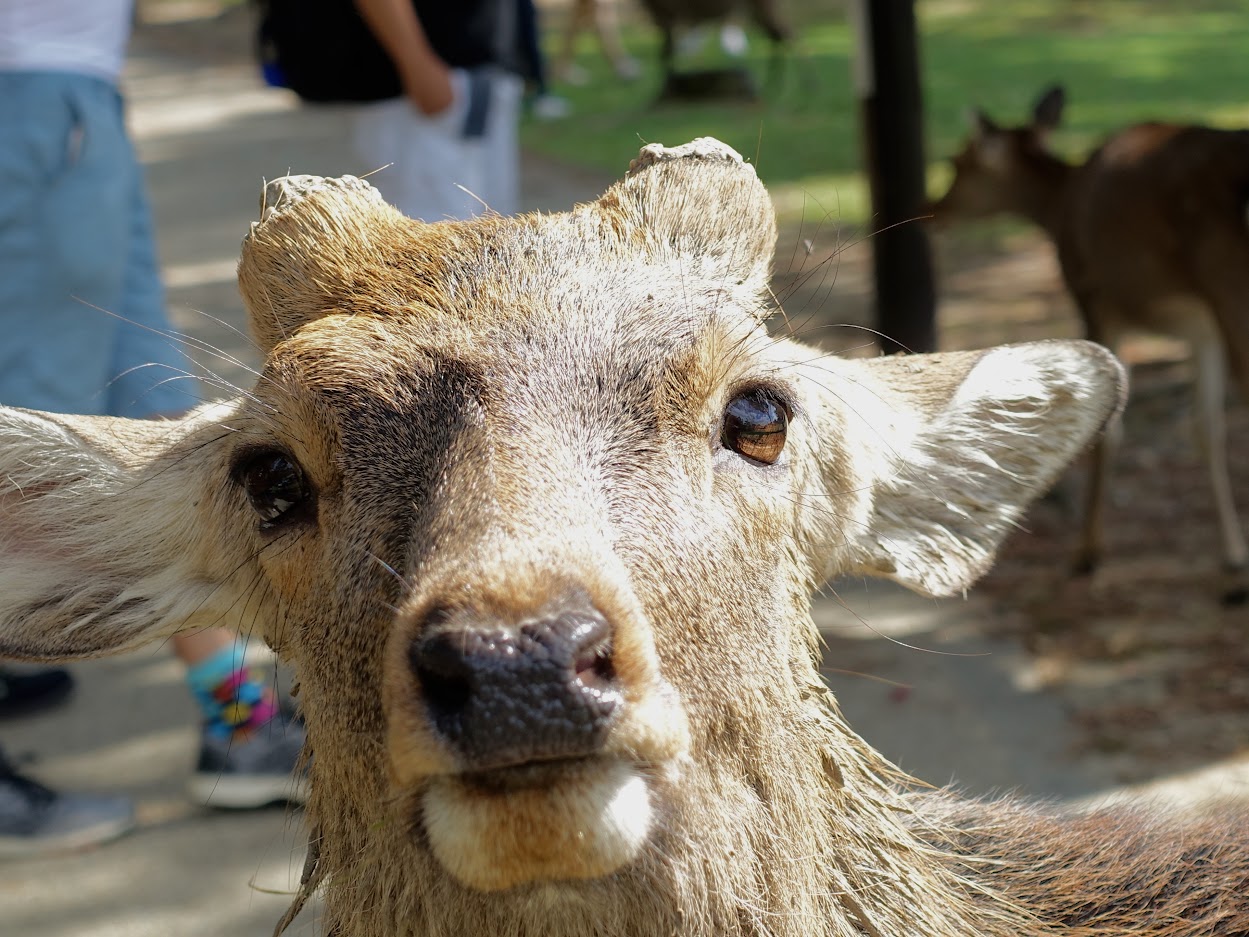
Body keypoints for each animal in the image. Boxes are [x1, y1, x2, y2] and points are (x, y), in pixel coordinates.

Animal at [927, 84, 1249, 605]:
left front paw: (1088, 554)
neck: (1059, 203)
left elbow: (1109, 426)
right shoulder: (1199, 328)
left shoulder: (1093, 295)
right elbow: (1207, 430)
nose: (934, 208)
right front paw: (1233, 558)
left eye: (960, 162)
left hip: (1227, 281)